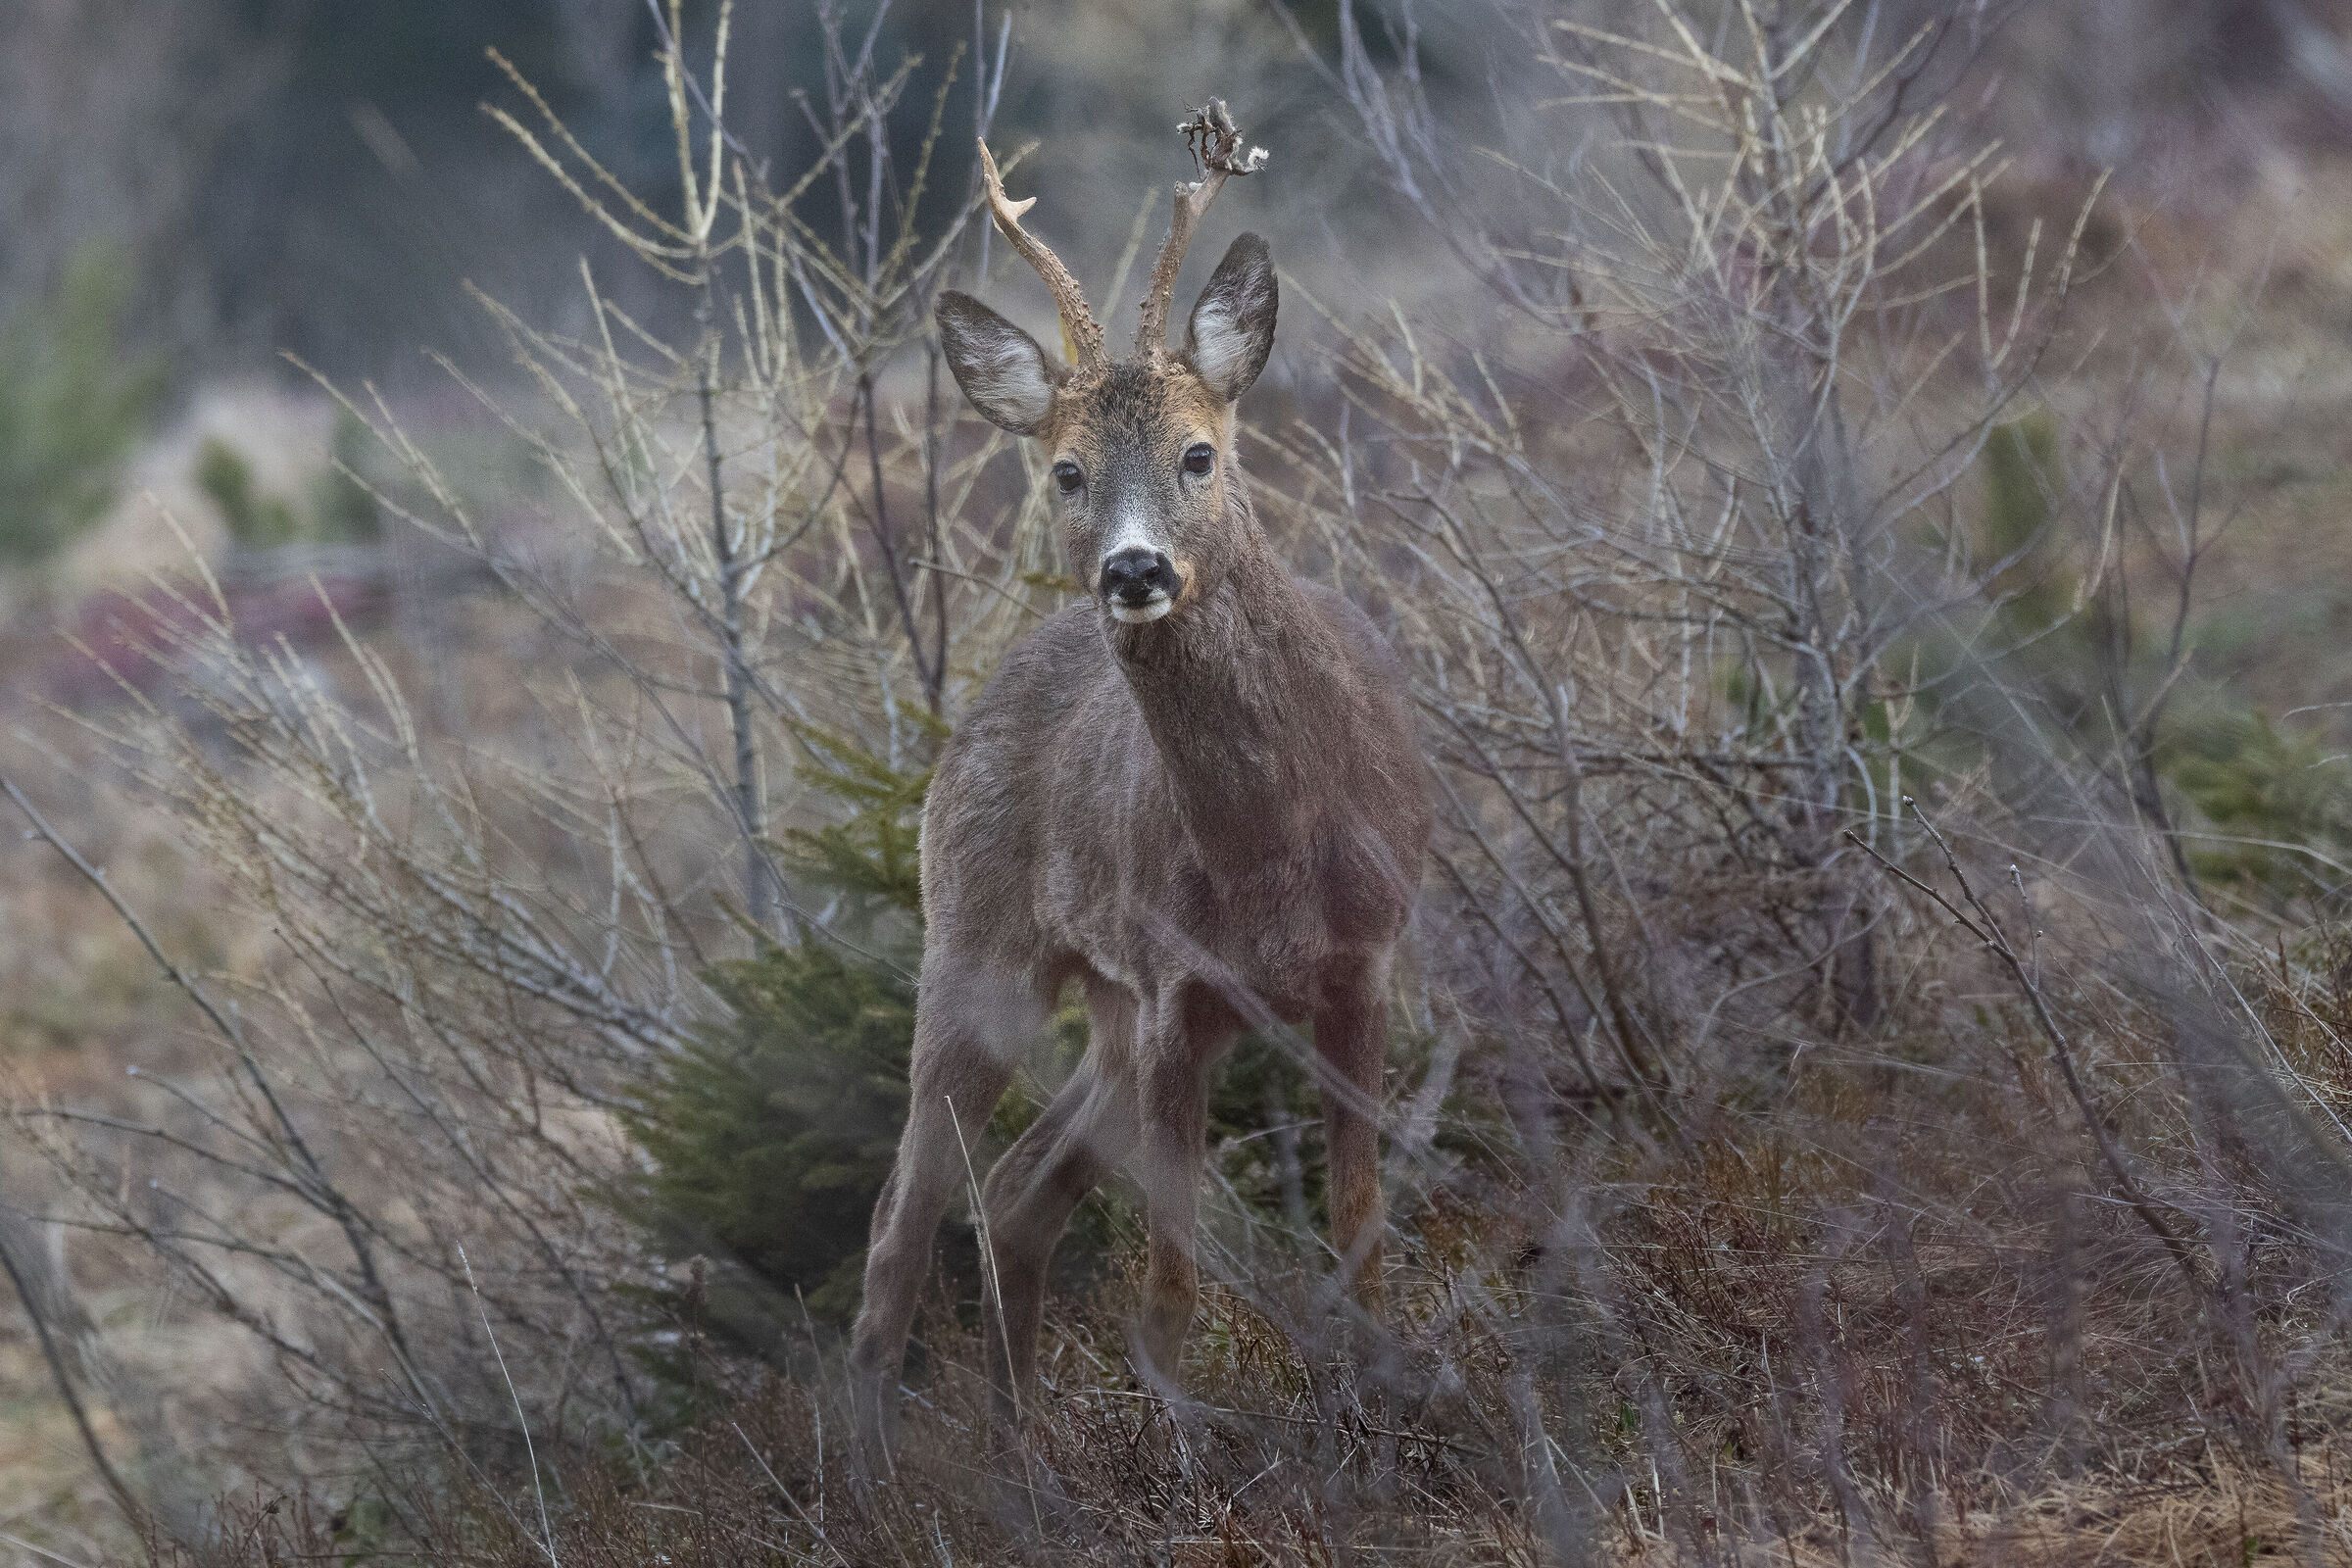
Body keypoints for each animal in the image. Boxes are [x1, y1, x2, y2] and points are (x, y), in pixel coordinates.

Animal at [848, 102, 1431, 1452]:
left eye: (1198, 452)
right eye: (1066, 470)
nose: (1134, 570)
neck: (1267, 845)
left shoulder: (1361, 967)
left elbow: (1360, 1227)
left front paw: (1380, 1395)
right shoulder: (1178, 990)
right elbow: (1169, 1275)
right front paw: (1193, 1437)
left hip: (1103, 1010)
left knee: (1015, 1193)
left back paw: (1021, 1459)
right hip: (978, 952)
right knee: (903, 1218)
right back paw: (871, 1462)